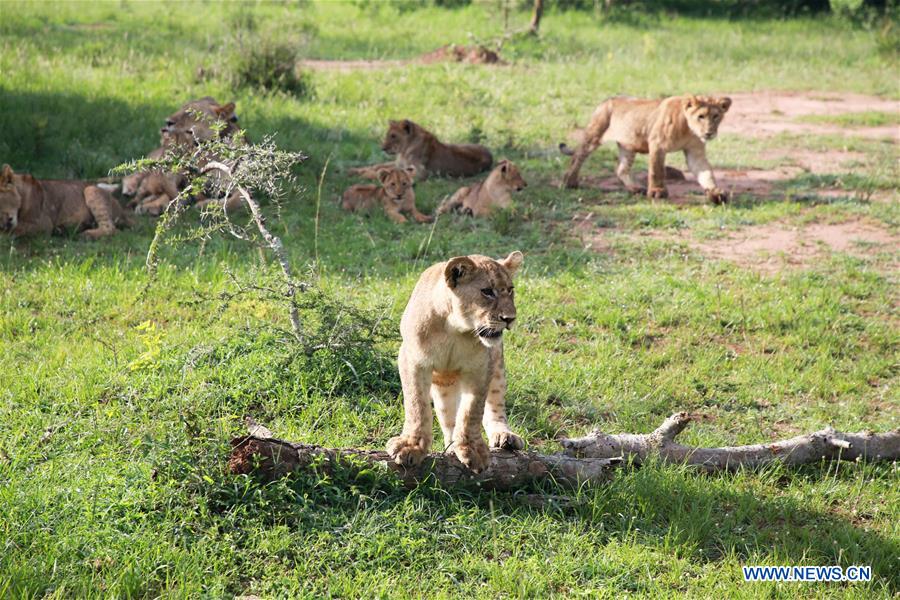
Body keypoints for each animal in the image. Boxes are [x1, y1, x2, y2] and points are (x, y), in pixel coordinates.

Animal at [0, 164, 132, 239]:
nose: (3, 224)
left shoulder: (44, 224)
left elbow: (16, 229)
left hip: (91, 189)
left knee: (111, 228)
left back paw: (87, 235)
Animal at [348, 120, 493, 180]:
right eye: (387, 134)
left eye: (393, 136)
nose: (382, 148)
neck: (403, 151)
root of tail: (490, 155)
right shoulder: (398, 163)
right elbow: (377, 166)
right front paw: (355, 170)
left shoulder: (421, 172)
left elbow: (384, 171)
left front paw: (365, 175)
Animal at [387, 251, 525, 473]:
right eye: (487, 291)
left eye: (510, 290)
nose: (510, 318)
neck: (455, 329)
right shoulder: (412, 360)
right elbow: (417, 405)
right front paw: (412, 446)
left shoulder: (481, 367)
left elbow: (472, 411)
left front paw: (472, 449)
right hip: (443, 384)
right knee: (447, 415)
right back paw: (452, 447)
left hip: (497, 367)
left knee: (495, 404)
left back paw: (504, 436)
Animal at [560, 95, 732, 204]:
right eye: (701, 116)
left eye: (716, 116)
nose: (709, 132)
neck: (688, 129)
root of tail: (606, 100)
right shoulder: (657, 144)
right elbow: (656, 170)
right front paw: (657, 192)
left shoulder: (694, 152)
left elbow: (706, 173)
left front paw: (715, 193)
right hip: (594, 134)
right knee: (577, 156)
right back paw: (569, 182)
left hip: (628, 145)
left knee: (621, 169)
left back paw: (636, 188)